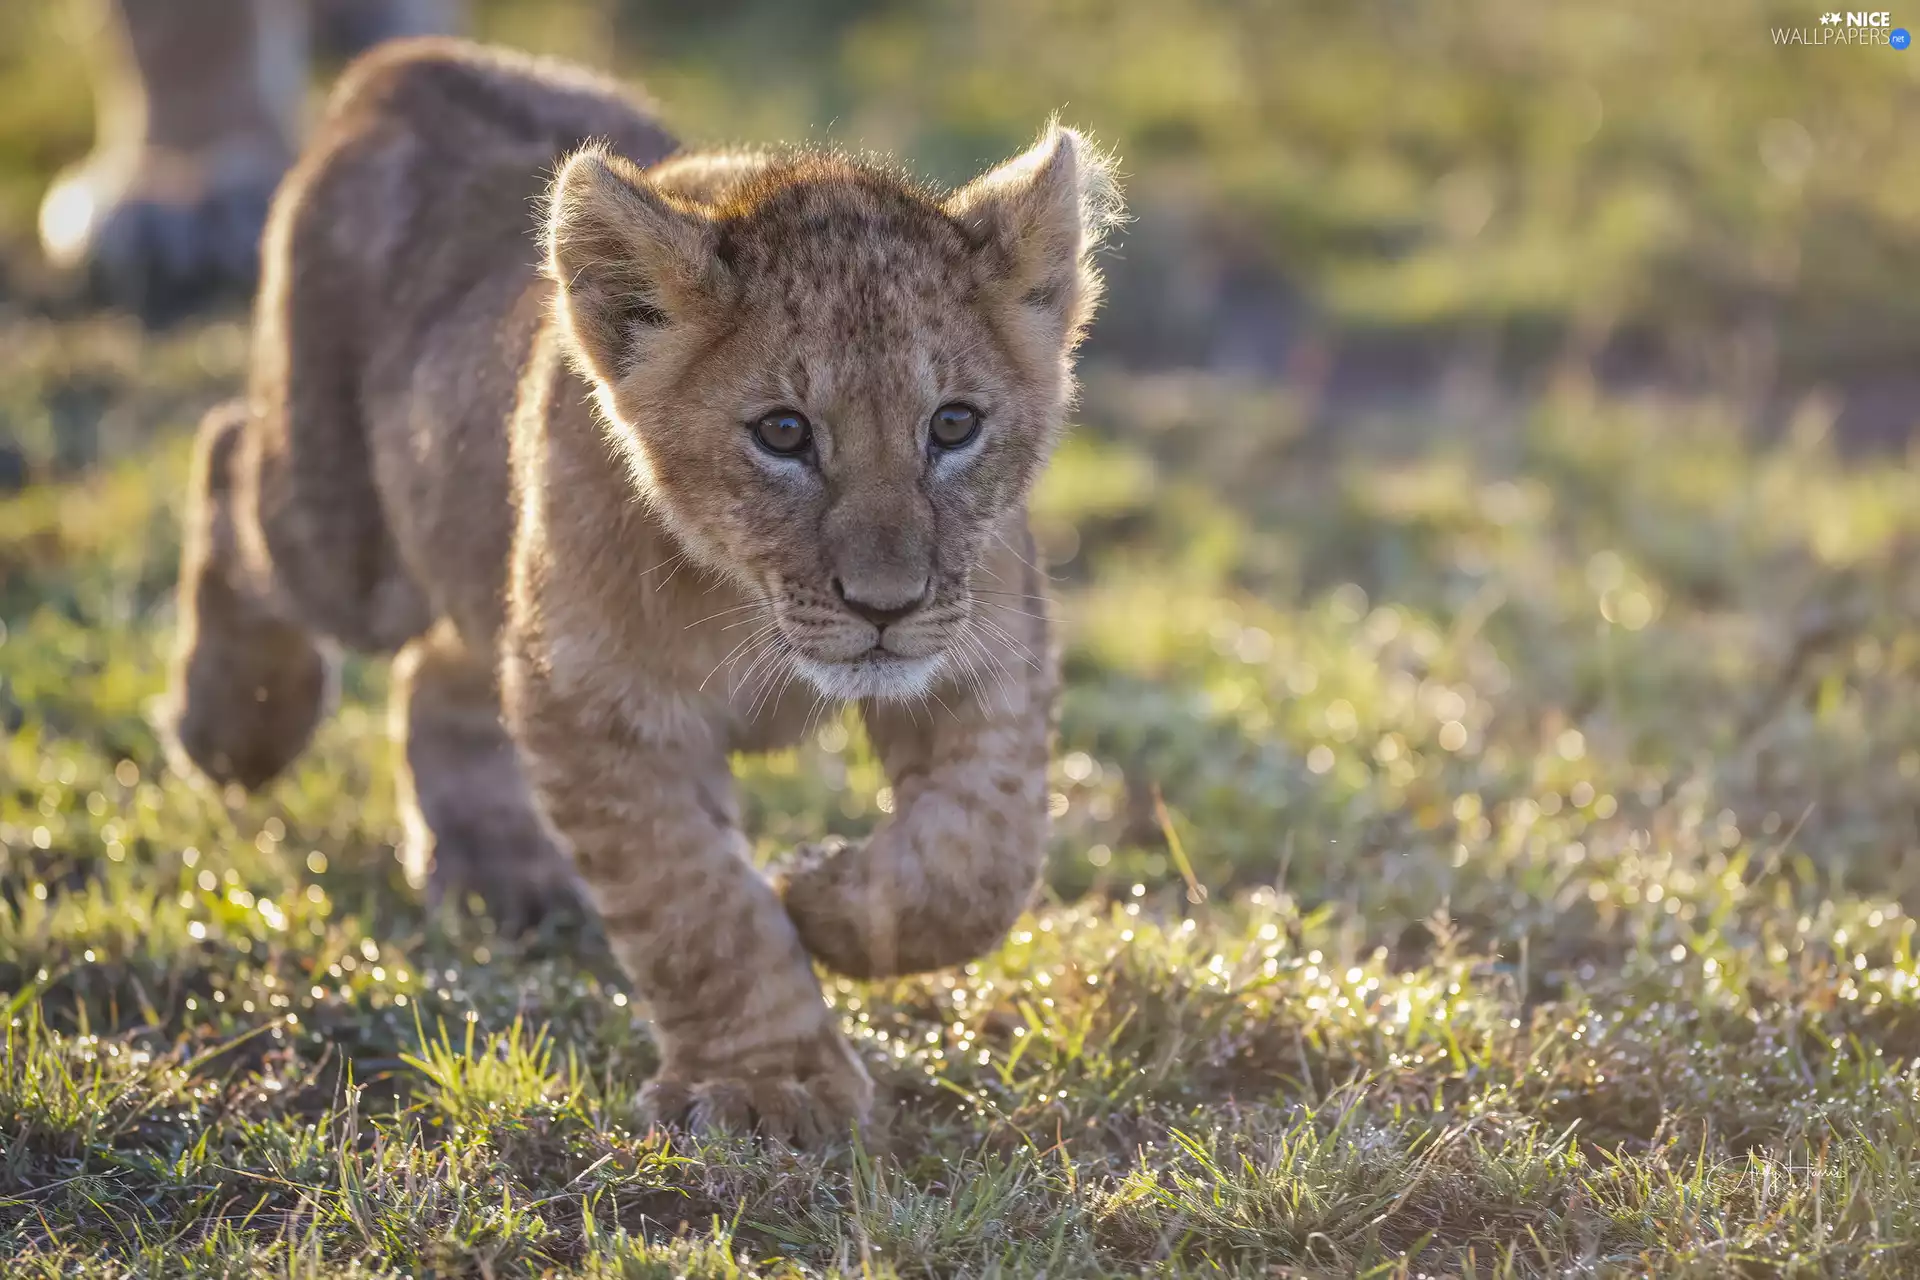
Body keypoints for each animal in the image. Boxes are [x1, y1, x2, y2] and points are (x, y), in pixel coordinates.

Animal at [165, 37, 1120, 1140]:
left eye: (954, 425)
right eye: (783, 433)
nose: (885, 605)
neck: (749, 604)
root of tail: (420, 59)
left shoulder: (983, 656)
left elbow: (980, 859)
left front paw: (829, 901)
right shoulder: (603, 707)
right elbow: (697, 905)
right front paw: (766, 1087)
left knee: (442, 670)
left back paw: (500, 871)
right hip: (343, 539)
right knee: (230, 452)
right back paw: (237, 726)